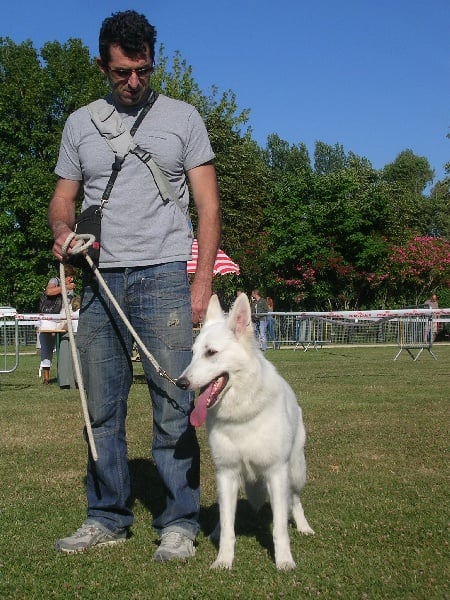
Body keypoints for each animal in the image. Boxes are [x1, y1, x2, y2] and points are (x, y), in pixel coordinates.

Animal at [176, 292, 312, 568]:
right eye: (193, 354)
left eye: (211, 353)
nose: (180, 383)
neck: (241, 414)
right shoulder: (226, 474)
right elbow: (229, 525)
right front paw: (223, 560)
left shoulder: (276, 473)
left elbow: (279, 527)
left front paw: (284, 560)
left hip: (295, 471)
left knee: (295, 500)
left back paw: (303, 526)